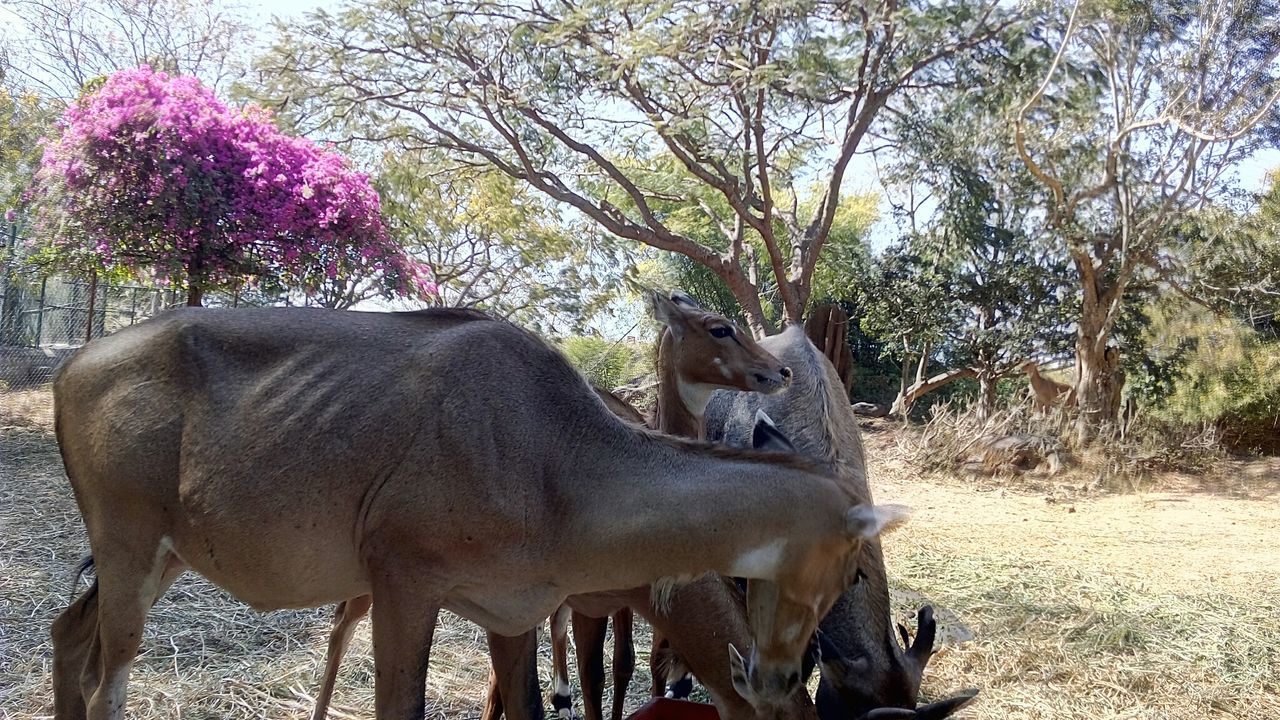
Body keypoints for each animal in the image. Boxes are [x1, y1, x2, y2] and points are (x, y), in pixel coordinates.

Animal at [49, 304, 906, 717]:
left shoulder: (514, 613)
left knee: (70, 637)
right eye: (850, 571)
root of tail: (73, 364)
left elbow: (527, 705)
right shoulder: (402, 586)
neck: (554, 453)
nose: (775, 673)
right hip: (130, 547)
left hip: (161, 556)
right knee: (106, 682)